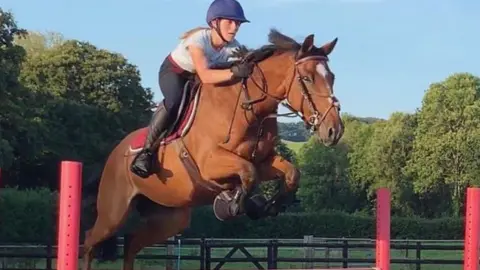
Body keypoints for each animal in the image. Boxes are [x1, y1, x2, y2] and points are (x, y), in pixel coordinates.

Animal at [82, 28, 344, 268]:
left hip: (169, 216)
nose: (334, 130)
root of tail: (115, 152)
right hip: (113, 212)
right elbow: (248, 172)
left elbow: (290, 173)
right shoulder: (210, 163)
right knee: (90, 241)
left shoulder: (264, 160)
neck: (248, 109)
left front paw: (268, 206)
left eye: (332, 77)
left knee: (132, 243)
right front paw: (236, 205)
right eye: (307, 78)